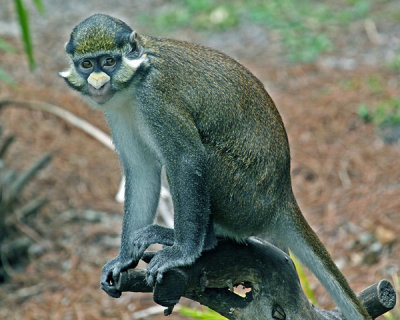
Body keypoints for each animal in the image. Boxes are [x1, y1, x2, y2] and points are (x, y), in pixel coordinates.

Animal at [60, 14, 372, 320]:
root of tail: (281, 197)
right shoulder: (116, 110)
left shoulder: (156, 101)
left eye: (109, 62)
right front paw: (124, 259)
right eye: (87, 64)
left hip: (244, 200)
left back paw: (198, 240)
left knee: (200, 159)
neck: (134, 82)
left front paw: (182, 252)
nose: (98, 82)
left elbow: (186, 159)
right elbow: (141, 171)